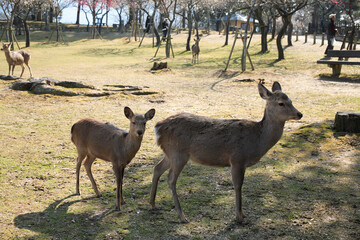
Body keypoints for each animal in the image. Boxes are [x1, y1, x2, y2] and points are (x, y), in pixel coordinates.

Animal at [150, 82, 302, 223]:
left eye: (291, 100)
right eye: (281, 103)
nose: (299, 114)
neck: (257, 140)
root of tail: (157, 127)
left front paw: (242, 215)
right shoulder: (237, 158)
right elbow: (238, 185)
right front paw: (239, 217)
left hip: (169, 153)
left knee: (157, 168)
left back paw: (152, 204)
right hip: (178, 153)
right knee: (171, 179)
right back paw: (182, 216)